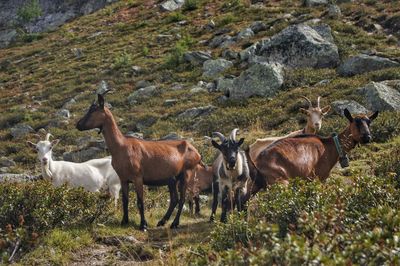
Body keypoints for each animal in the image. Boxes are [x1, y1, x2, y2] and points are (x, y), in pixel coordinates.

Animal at [76, 92, 202, 230]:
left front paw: (143, 225)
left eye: (93, 109)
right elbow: (125, 200)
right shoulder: (123, 178)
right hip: (172, 179)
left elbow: (140, 201)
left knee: (182, 199)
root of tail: (196, 152)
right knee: (174, 199)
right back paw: (162, 221)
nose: (78, 125)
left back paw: (174, 223)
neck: (121, 146)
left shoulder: (138, 178)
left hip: (186, 173)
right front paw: (124, 221)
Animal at [250, 108, 378, 193]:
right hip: (280, 182)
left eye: (369, 122)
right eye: (355, 122)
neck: (330, 146)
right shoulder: (319, 177)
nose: (367, 137)